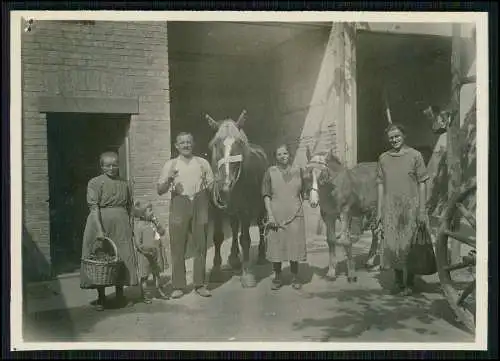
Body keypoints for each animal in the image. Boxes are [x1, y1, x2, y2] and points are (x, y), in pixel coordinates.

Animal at [206, 109, 272, 286]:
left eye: (240, 143)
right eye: (215, 144)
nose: (226, 184)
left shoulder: (245, 210)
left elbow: (246, 239)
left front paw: (247, 274)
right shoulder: (216, 210)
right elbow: (218, 237)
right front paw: (216, 270)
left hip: (260, 207)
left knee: (261, 226)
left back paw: (261, 256)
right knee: (235, 228)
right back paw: (234, 258)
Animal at [302, 146, 380, 282]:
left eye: (323, 174)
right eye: (307, 175)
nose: (313, 202)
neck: (333, 189)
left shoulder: (345, 212)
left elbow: (344, 240)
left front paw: (352, 273)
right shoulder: (328, 215)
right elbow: (331, 240)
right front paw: (331, 272)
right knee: (375, 234)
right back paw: (369, 261)